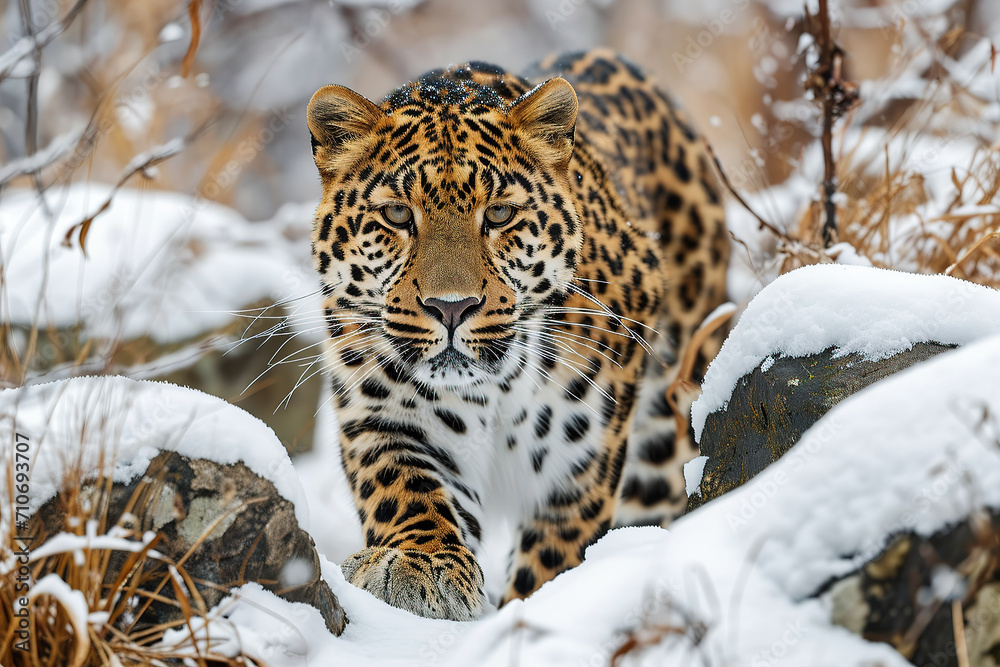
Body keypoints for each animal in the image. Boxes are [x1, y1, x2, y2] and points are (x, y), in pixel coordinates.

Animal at [305, 49, 729, 621]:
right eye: (396, 214)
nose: (451, 307)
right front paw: (420, 565)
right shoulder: (385, 415)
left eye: (500, 214)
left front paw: (528, 612)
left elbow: (553, 563)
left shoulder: (575, 467)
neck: (494, 387)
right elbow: (405, 489)